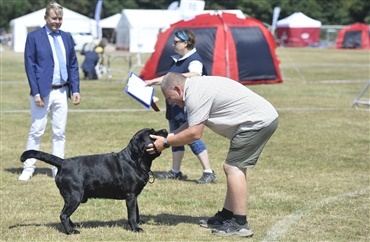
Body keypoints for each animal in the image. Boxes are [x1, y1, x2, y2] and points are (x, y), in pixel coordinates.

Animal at [20, 127, 168, 233]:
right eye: (152, 134)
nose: (165, 130)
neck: (135, 161)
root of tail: (63, 162)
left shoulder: (134, 196)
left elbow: (136, 211)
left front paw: (138, 223)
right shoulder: (130, 195)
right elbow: (131, 214)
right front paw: (135, 228)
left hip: (71, 198)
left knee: (66, 214)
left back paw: (73, 226)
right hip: (75, 196)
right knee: (63, 215)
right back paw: (71, 231)